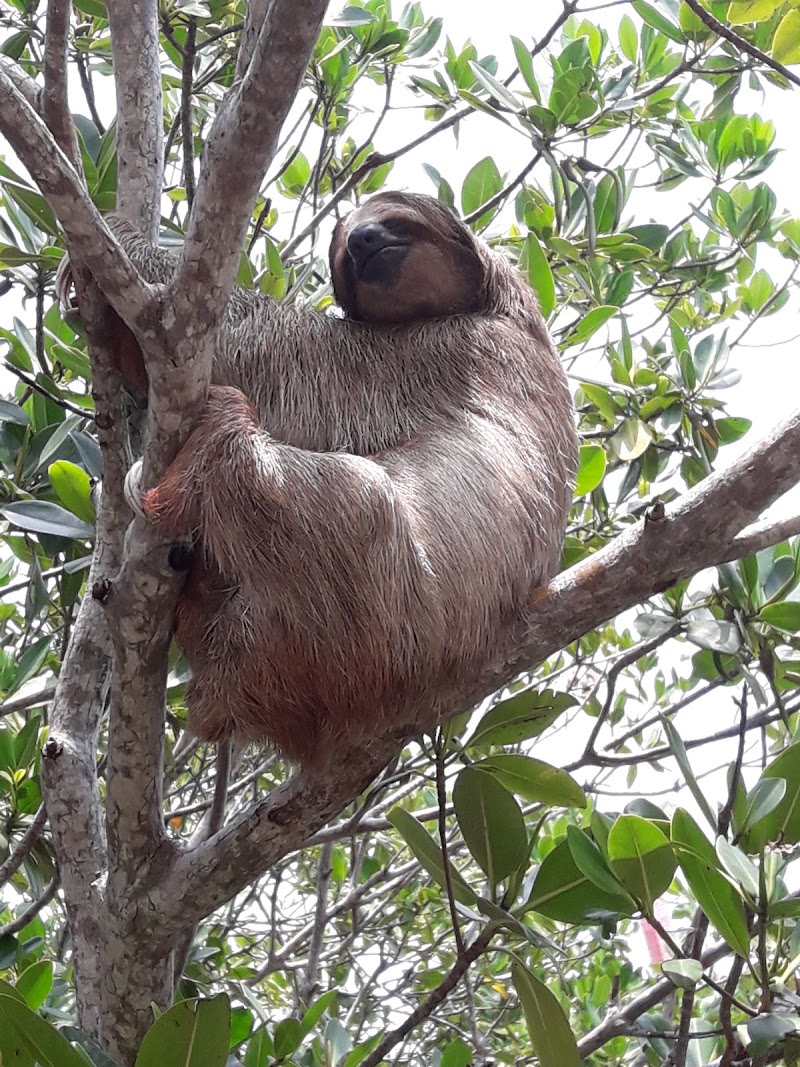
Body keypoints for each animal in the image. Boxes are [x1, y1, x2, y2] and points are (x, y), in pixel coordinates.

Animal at [96, 191, 577, 767]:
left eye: (393, 224)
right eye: (348, 249)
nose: (365, 240)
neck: (491, 303)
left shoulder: (450, 349)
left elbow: (285, 359)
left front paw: (123, 246)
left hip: (393, 619)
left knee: (358, 495)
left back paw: (216, 447)